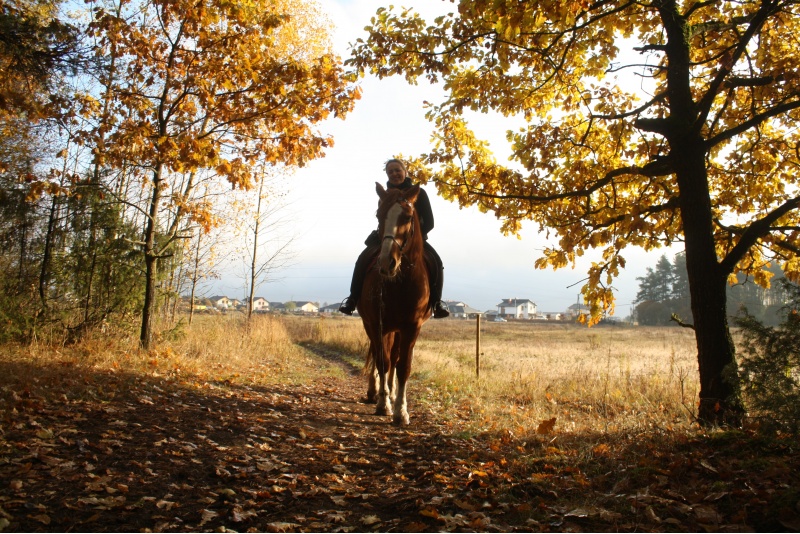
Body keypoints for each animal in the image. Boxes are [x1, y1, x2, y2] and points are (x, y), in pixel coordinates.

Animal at [357, 182, 430, 426]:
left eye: (407, 216)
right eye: (379, 215)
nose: (386, 262)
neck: (400, 282)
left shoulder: (411, 327)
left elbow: (403, 366)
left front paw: (401, 411)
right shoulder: (377, 324)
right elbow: (383, 361)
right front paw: (383, 404)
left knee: (396, 359)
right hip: (376, 326)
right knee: (379, 355)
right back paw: (375, 392)